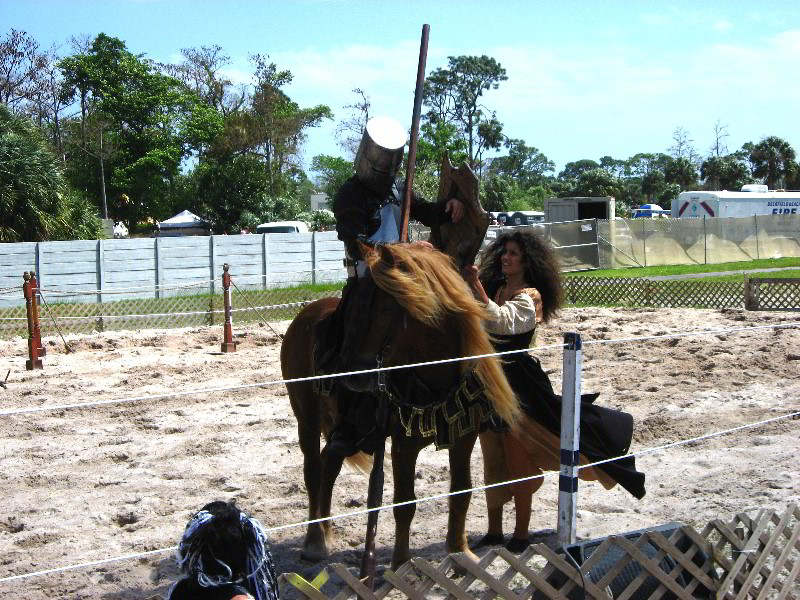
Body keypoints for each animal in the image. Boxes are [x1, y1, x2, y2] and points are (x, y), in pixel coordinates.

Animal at [282, 243, 520, 568]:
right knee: (313, 471)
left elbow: (462, 490)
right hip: (306, 416)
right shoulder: (403, 445)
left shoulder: (463, 436)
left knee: (329, 462)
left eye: (385, 308)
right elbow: (405, 503)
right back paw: (314, 541)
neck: (433, 373)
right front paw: (401, 565)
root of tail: (305, 314)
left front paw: (460, 552)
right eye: (355, 305)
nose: (353, 375)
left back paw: (326, 532)